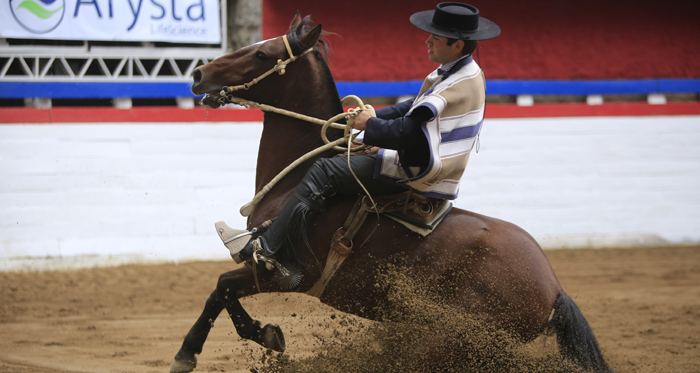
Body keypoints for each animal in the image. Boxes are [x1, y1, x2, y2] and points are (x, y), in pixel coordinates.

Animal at [171, 11, 612, 372]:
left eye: (262, 55)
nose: (198, 75)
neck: (294, 182)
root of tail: (554, 289)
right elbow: (218, 293)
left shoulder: (282, 273)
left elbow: (223, 287)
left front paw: (216, 346)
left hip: (447, 339)